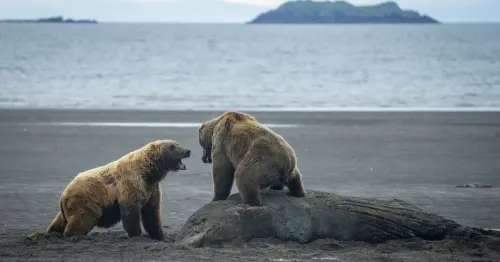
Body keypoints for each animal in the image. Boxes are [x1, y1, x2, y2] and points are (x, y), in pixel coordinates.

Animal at [45, 139, 191, 239]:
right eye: (173, 146)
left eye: (177, 144)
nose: (188, 151)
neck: (149, 172)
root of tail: (64, 193)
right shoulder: (131, 185)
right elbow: (131, 211)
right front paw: (136, 234)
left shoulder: (151, 188)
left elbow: (152, 212)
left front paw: (159, 235)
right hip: (86, 200)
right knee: (82, 219)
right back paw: (74, 235)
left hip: (68, 207)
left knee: (59, 221)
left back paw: (52, 233)